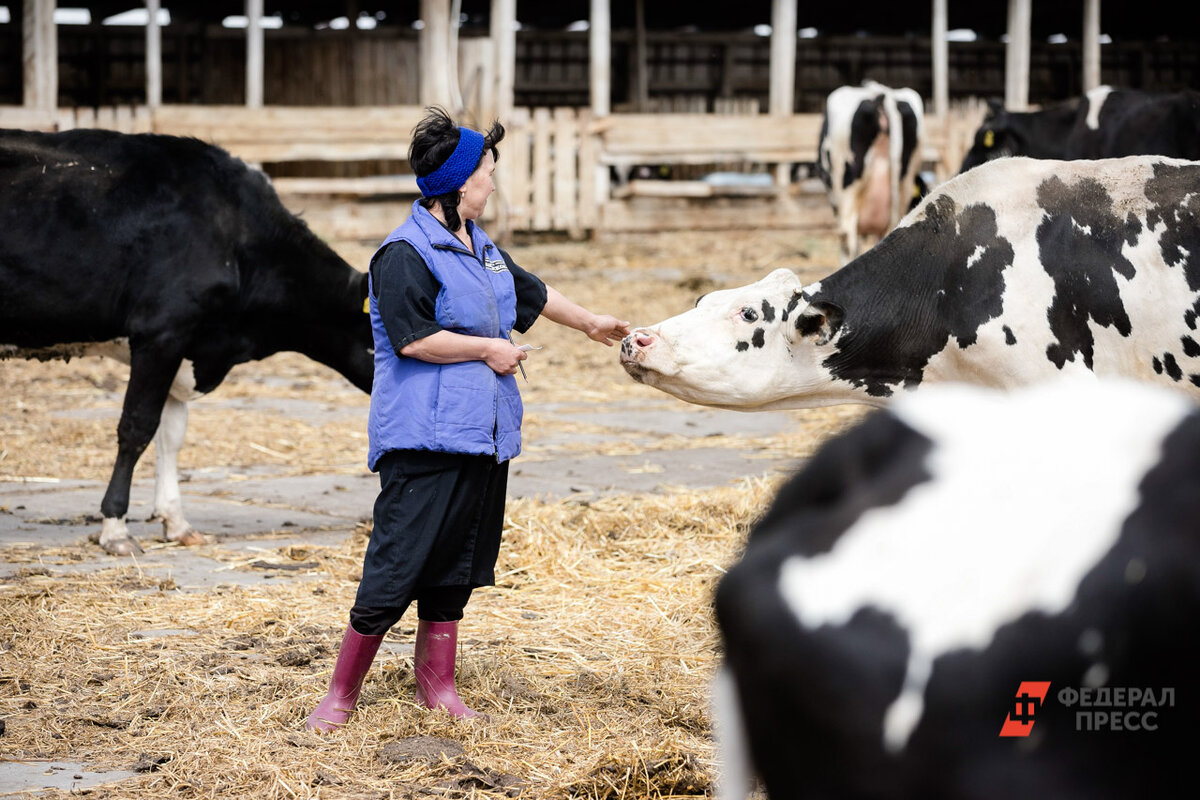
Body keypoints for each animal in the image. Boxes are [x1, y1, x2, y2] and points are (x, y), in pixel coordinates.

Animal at [0, 130, 374, 556]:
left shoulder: (185, 348)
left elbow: (172, 435)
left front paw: (176, 522)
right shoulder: (161, 332)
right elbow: (137, 427)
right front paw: (116, 528)